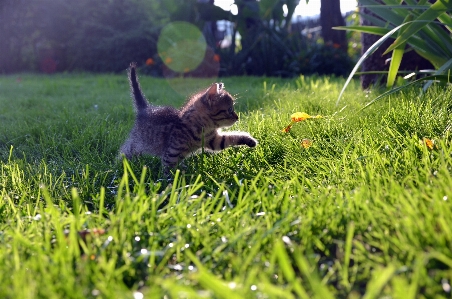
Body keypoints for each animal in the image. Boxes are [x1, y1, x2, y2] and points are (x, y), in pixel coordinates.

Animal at [118, 63, 258, 171]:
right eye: (230, 110)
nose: (237, 117)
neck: (202, 128)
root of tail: (145, 109)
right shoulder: (171, 155)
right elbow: (168, 173)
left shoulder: (214, 140)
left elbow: (231, 138)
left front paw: (250, 140)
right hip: (137, 143)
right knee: (125, 151)